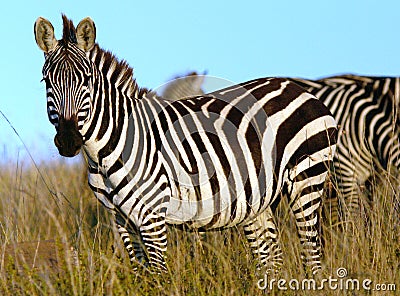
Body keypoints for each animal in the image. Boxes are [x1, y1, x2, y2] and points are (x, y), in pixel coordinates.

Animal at [35, 15, 338, 276]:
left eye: (86, 80)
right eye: (47, 81)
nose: (68, 141)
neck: (106, 152)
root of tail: (298, 88)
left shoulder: (152, 216)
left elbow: (160, 276)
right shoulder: (122, 220)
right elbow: (141, 276)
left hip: (306, 180)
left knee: (311, 255)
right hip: (258, 199)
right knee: (270, 259)